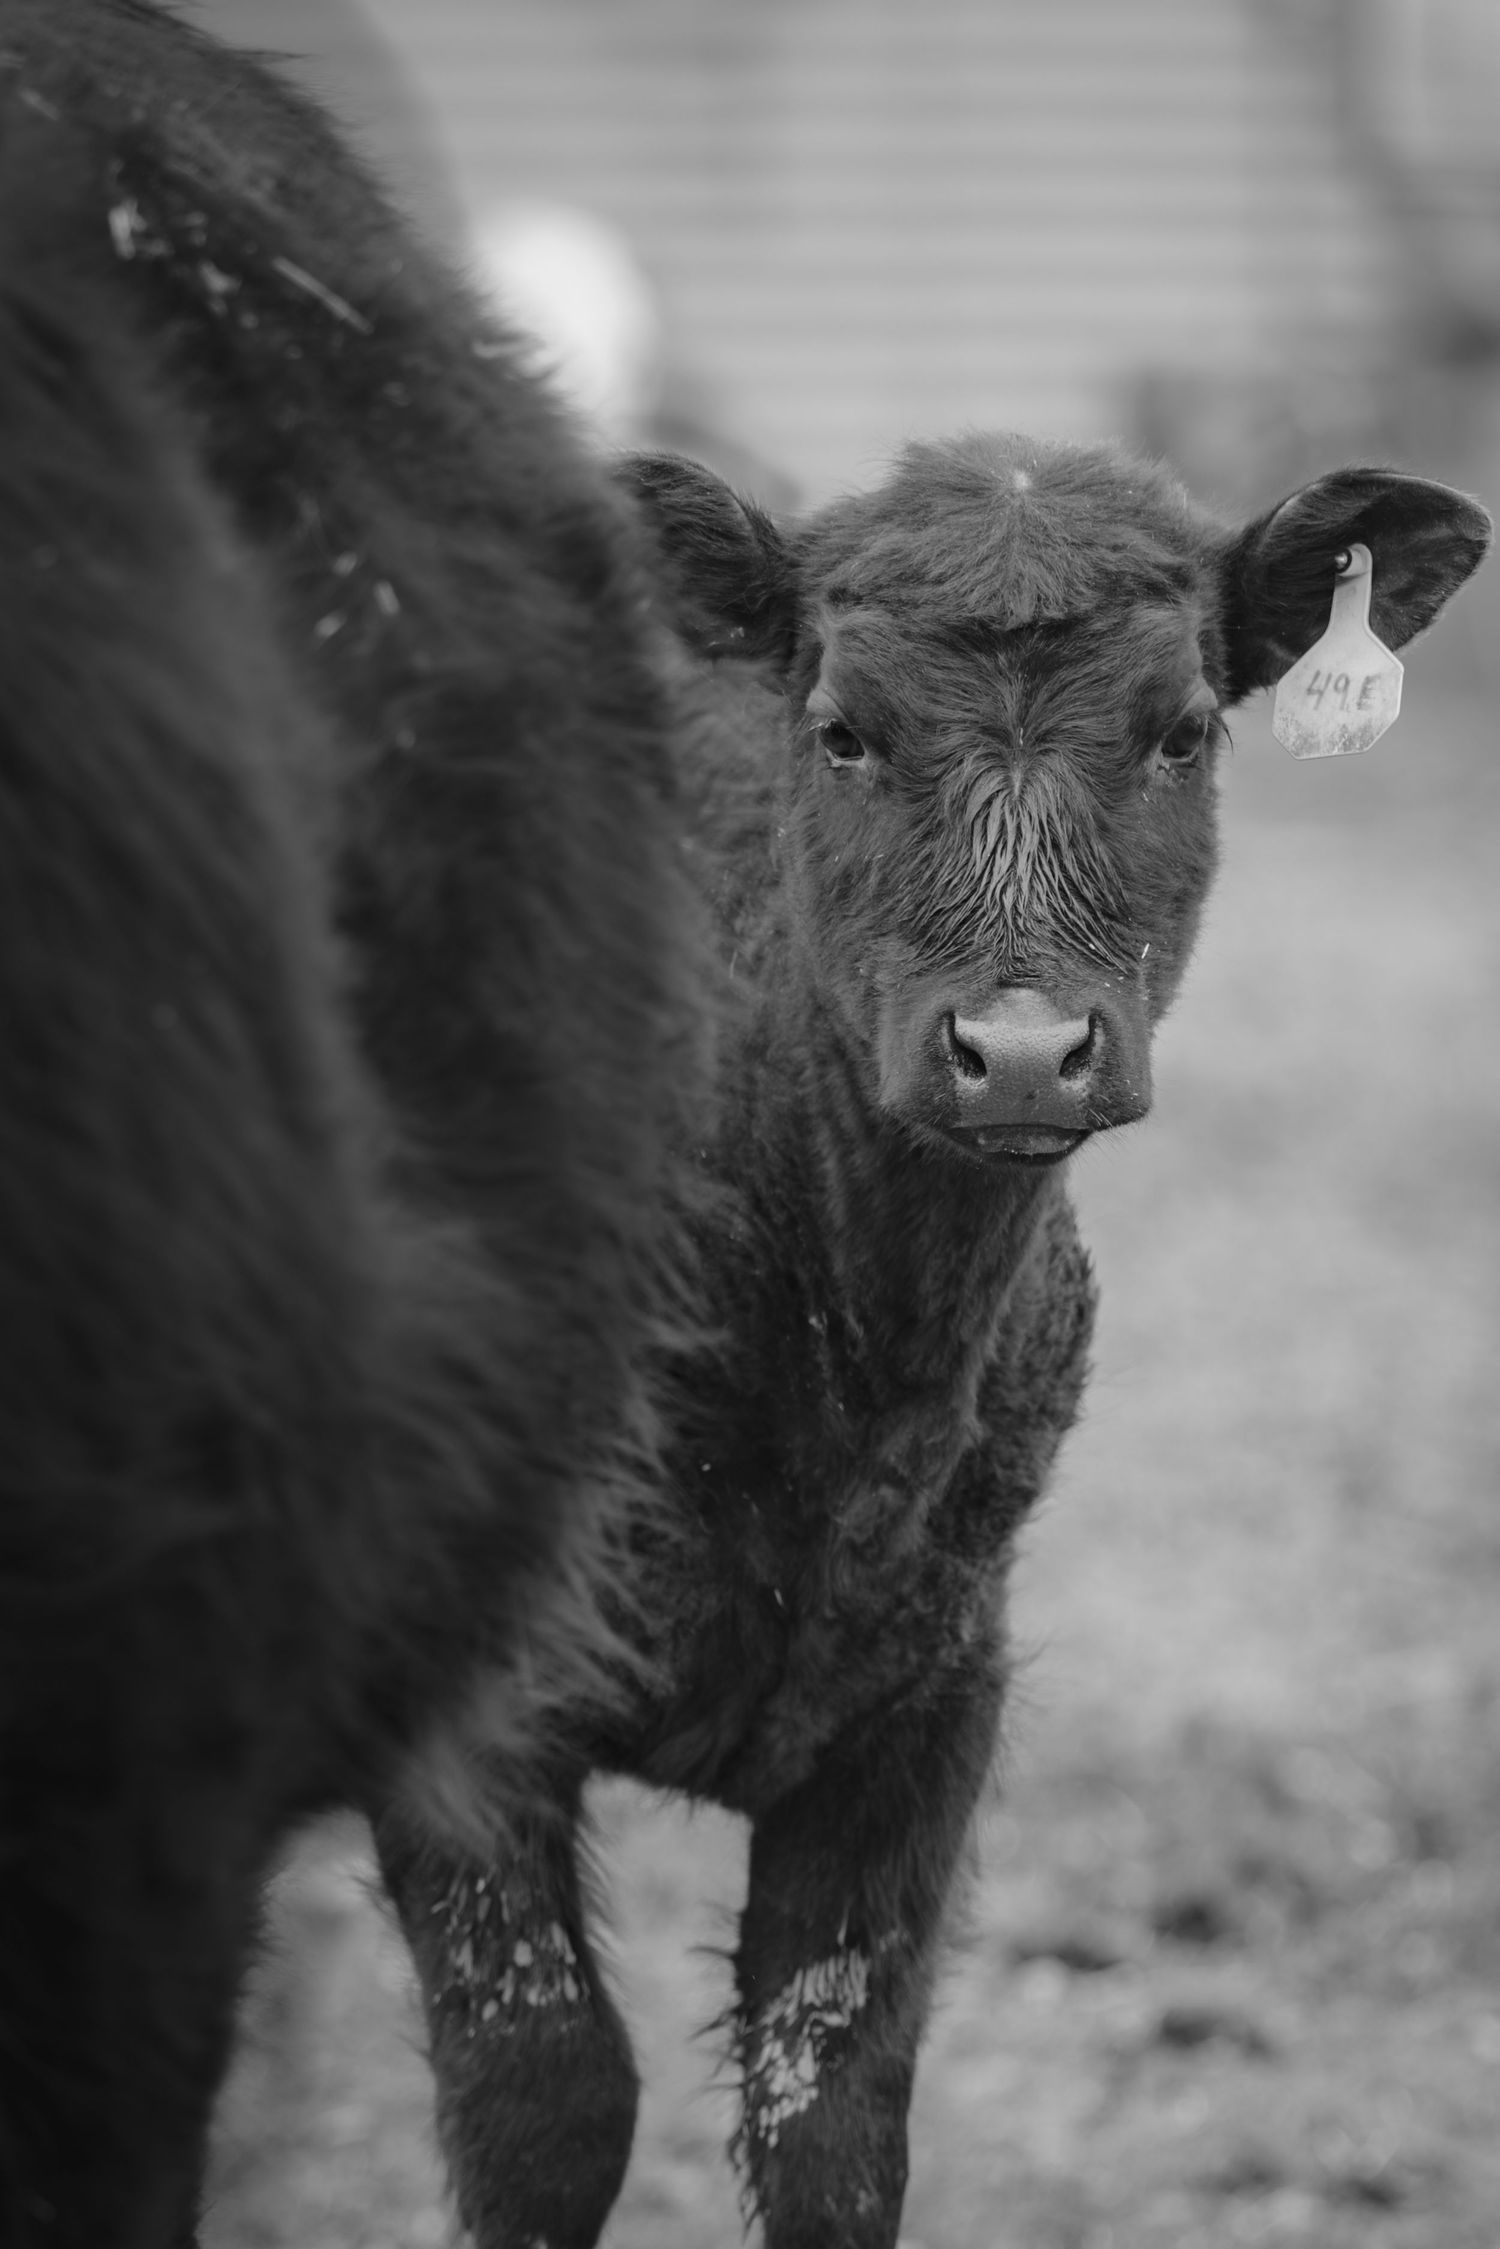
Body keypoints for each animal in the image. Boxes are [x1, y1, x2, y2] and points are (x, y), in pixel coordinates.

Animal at [377, 437, 1490, 2249]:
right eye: (840, 727)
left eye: (1186, 727)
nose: (1023, 1051)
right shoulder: (466, 1701)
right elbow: (544, 2094)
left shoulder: (930, 1699)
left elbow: (829, 2105)